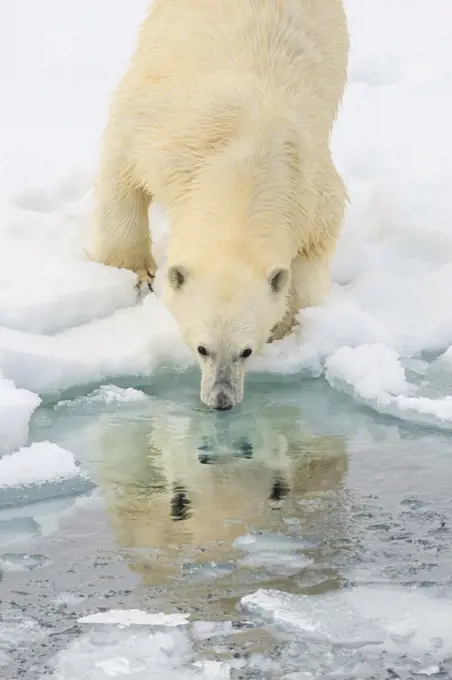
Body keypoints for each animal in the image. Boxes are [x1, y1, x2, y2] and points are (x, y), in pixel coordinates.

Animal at [89, 0, 350, 410]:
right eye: (202, 349)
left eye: (245, 351)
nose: (221, 400)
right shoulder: (166, 139)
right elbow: (124, 169)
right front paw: (136, 273)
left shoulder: (312, 192)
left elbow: (310, 263)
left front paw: (285, 325)